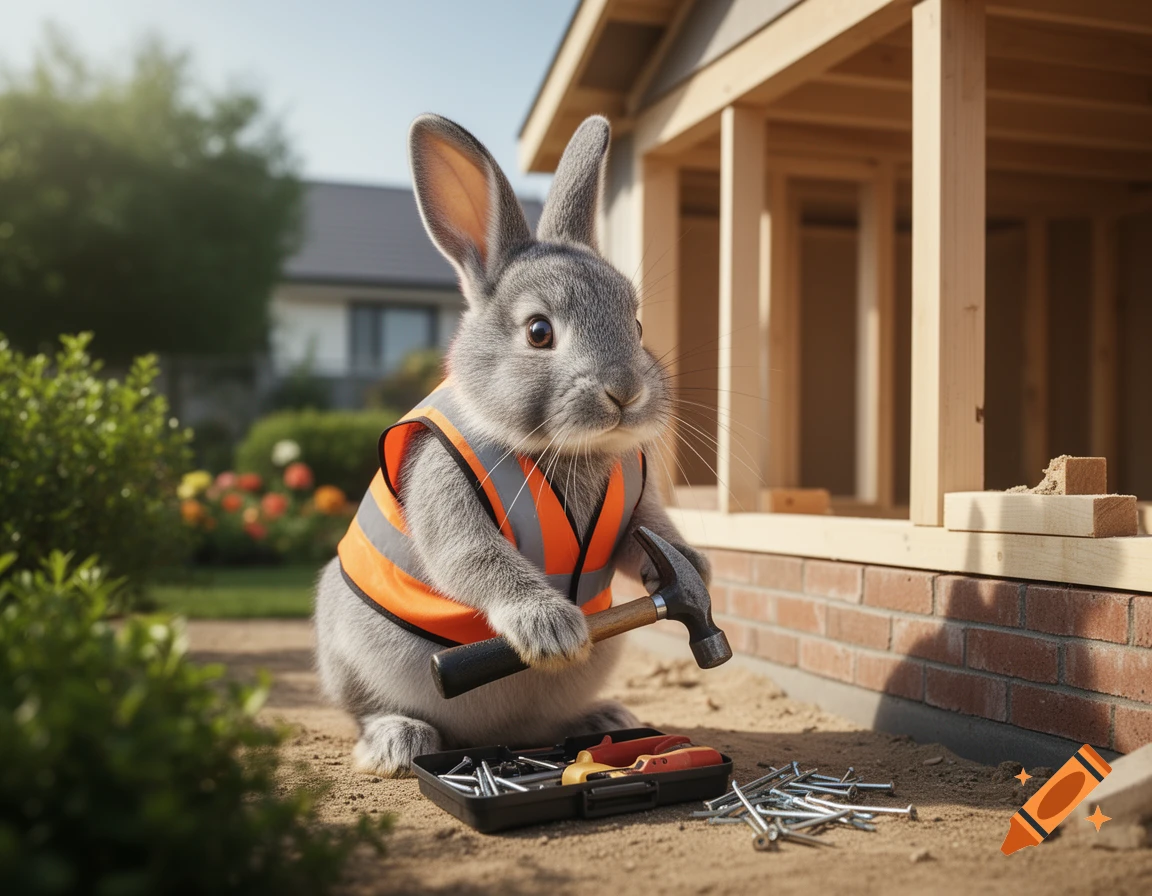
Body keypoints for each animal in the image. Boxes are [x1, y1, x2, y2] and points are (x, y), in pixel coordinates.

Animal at [313, 112, 711, 777]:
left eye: (635, 324)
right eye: (539, 331)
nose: (625, 392)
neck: (567, 448)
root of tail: (487, 733)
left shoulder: (638, 511)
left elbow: (647, 538)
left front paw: (694, 567)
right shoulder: (442, 488)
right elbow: (473, 556)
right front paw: (550, 627)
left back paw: (605, 719)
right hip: (347, 652)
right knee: (367, 711)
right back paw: (397, 741)